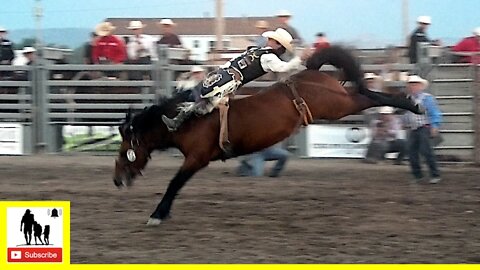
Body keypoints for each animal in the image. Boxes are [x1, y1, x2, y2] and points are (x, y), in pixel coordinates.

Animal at [112, 46, 420, 226]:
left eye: (125, 149)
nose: (116, 180)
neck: (189, 122)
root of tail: (311, 74)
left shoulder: (197, 158)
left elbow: (174, 183)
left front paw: (157, 214)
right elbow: (175, 184)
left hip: (338, 105)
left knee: (368, 96)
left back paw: (411, 104)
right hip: (338, 103)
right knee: (366, 94)